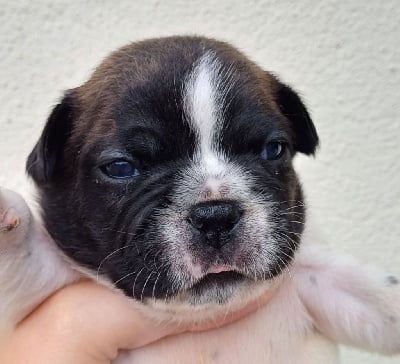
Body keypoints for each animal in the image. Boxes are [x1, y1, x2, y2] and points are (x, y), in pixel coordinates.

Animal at [0, 36, 400, 362]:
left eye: (273, 150)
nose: (216, 215)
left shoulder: (317, 279)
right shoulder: (46, 285)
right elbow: (26, 260)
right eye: (120, 167)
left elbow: (377, 297)